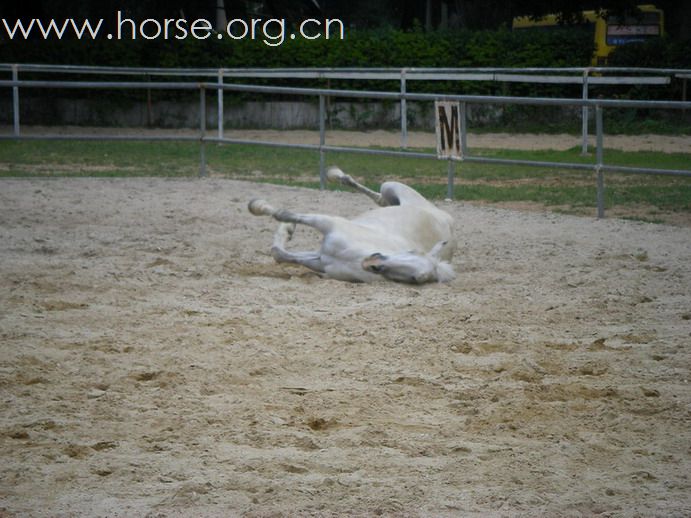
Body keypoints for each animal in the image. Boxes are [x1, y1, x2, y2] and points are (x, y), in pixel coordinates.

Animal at [247, 169, 454, 284]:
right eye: (411, 251)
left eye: (416, 278)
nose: (372, 263)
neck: (355, 257)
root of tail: (446, 217)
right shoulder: (328, 223)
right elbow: (282, 214)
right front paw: (257, 206)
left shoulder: (320, 259)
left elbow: (279, 253)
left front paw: (287, 228)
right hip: (389, 185)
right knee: (380, 197)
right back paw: (335, 174)